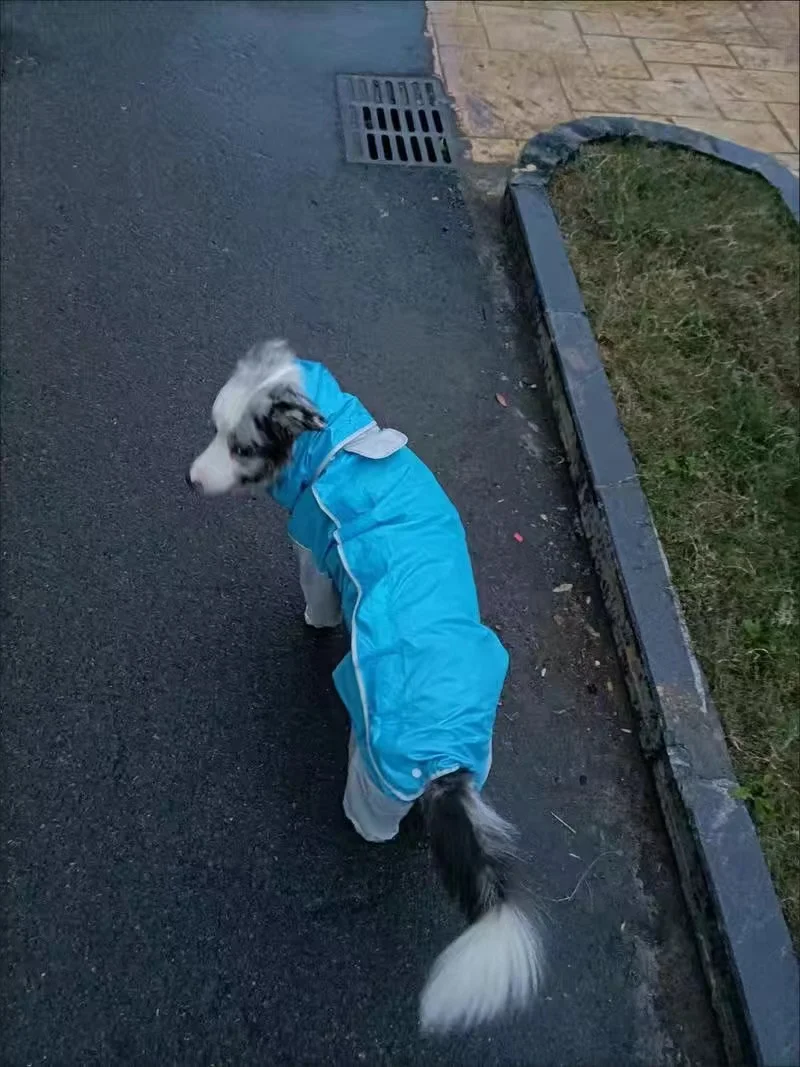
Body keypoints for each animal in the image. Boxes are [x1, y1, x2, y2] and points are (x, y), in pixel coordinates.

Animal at [186, 341, 546, 1032]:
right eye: (214, 432)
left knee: (371, 814)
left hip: (374, 767)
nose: (189, 481)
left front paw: (315, 624)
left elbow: (319, 600)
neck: (340, 447)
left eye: (241, 447)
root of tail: (442, 760)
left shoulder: (315, 555)